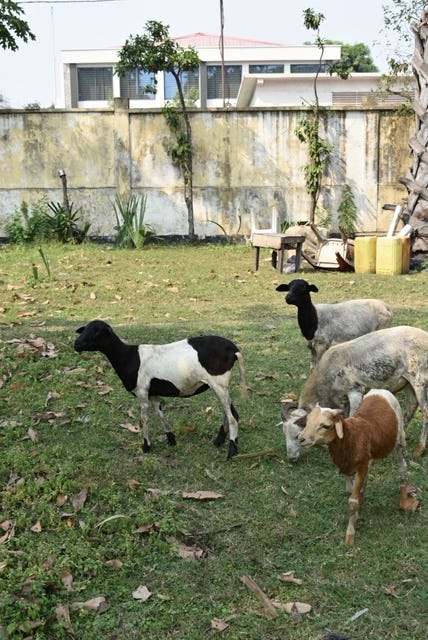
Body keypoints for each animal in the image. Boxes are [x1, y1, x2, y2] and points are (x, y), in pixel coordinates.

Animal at [74, 320, 247, 458]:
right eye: (84, 329)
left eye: (97, 332)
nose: (76, 344)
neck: (128, 357)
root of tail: (233, 349)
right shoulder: (153, 393)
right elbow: (160, 413)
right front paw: (171, 439)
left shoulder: (142, 391)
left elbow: (144, 419)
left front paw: (146, 446)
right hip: (220, 385)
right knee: (232, 411)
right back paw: (219, 441)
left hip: (218, 382)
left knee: (232, 416)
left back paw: (231, 451)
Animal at [282, 325, 428, 462]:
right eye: (284, 433)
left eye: (297, 435)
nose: (291, 458)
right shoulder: (342, 399)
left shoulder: (355, 391)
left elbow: (354, 416)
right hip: (407, 382)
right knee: (411, 407)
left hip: (419, 381)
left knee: (425, 412)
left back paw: (419, 450)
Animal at [297, 389, 417, 545]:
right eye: (307, 422)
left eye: (326, 426)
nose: (301, 439)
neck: (351, 437)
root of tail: (381, 391)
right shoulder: (348, 468)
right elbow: (350, 492)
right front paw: (355, 517)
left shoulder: (361, 467)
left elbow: (353, 501)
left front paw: (350, 536)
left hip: (400, 438)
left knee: (403, 468)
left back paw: (403, 500)